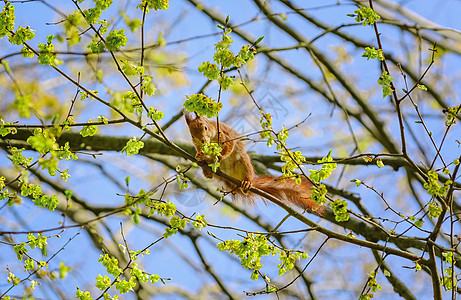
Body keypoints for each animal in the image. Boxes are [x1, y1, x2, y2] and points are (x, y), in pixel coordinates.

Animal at [184, 111, 324, 214]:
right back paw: (207, 170)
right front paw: (199, 155)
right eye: (192, 136)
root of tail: (231, 181)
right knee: (211, 174)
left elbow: (229, 147)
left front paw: (220, 155)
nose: (203, 141)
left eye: (205, 127)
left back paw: (246, 182)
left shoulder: (224, 135)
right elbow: (200, 151)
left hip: (243, 163)